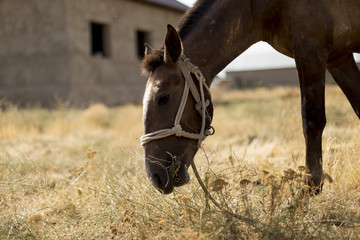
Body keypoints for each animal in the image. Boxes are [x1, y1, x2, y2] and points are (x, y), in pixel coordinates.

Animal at [140, 0, 360, 194]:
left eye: (162, 97)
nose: (155, 176)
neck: (261, 6)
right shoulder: (338, 58)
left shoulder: (311, 50)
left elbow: (312, 120)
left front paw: (308, 190)